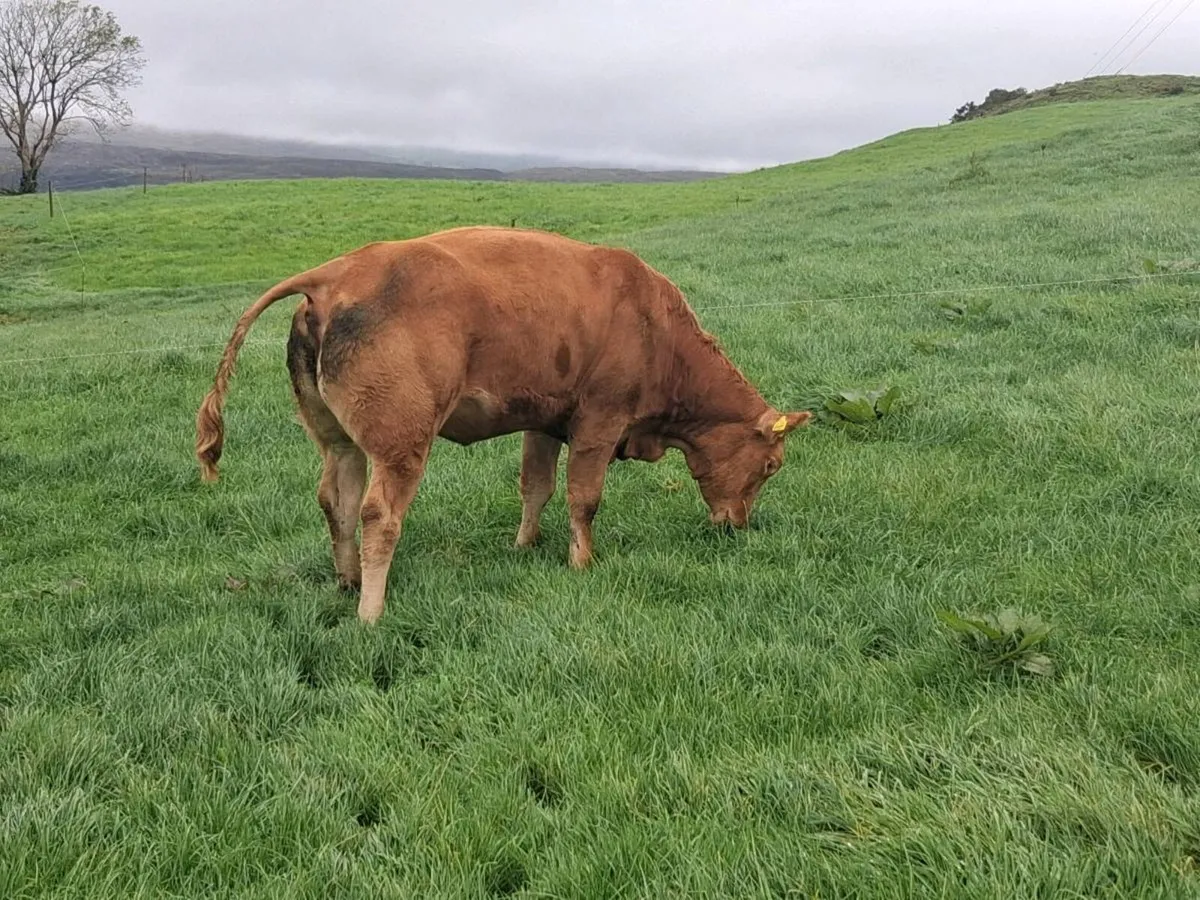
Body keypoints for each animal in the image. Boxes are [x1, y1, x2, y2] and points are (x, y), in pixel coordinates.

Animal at [195, 226, 811, 623]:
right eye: (770, 466)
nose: (737, 527)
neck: (654, 327)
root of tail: (338, 271)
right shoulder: (599, 422)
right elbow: (583, 498)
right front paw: (581, 562)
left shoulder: (545, 422)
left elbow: (535, 487)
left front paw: (524, 546)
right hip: (401, 447)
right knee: (378, 516)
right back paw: (371, 611)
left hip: (339, 442)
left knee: (337, 502)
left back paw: (347, 583)